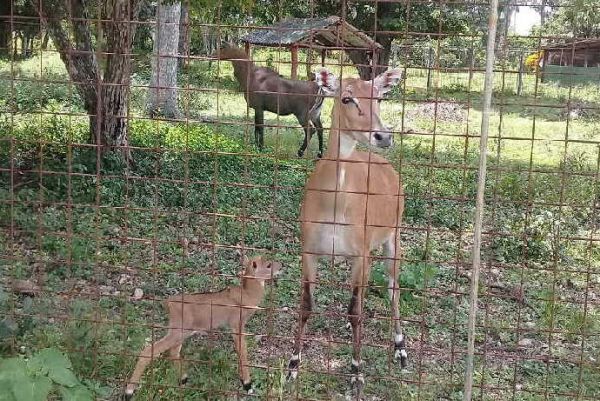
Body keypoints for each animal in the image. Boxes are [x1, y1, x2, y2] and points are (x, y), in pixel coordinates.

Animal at [123, 255, 282, 398]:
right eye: (268, 264)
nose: (281, 267)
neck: (248, 295)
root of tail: (167, 303)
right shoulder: (237, 323)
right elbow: (243, 351)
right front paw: (248, 385)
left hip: (180, 331)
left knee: (173, 352)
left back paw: (183, 379)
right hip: (179, 330)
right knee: (149, 350)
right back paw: (129, 391)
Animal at [288, 67, 408, 396]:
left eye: (379, 97)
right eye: (346, 97)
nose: (383, 135)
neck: (334, 208)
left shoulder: (362, 252)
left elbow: (356, 310)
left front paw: (356, 374)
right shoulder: (309, 248)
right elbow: (307, 304)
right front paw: (292, 365)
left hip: (394, 236)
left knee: (392, 287)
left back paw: (401, 349)